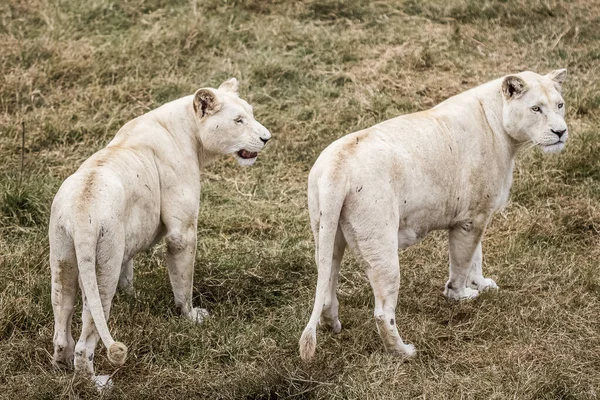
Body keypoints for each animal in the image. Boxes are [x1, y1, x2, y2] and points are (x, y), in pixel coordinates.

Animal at [49, 78, 270, 378]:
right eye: (238, 120)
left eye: (251, 113)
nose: (267, 138)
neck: (189, 132)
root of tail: (83, 211)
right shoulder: (182, 231)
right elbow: (183, 279)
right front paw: (191, 316)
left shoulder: (128, 233)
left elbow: (128, 269)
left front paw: (133, 297)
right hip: (102, 265)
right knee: (88, 335)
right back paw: (95, 380)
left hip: (63, 257)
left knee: (62, 319)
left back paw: (62, 365)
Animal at [300, 68, 568, 360]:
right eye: (536, 108)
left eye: (560, 105)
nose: (561, 132)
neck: (500, 127)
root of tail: (338, 166)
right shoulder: (470, 218)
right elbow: (462, 261)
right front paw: (460, 295)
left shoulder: (479, 214)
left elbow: (476, 256)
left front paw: (481, 284)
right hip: (380, 245)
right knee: (383, 312)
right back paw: (405, 352)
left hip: (327, 233)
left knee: (327, 287)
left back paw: (333, 325)